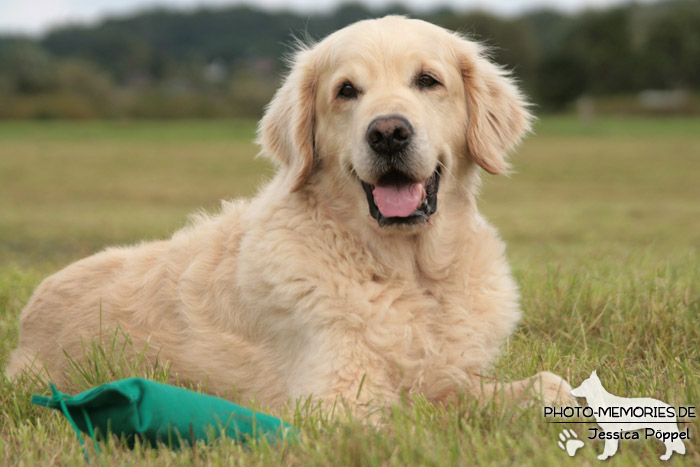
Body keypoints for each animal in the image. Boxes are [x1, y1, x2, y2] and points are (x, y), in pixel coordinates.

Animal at [6, 16, 576, 414]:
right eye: (346, 90)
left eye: (428, 81)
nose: (388, 132)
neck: (411, 274)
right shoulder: (336, 400)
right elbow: (424, 403)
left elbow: (545, 385)